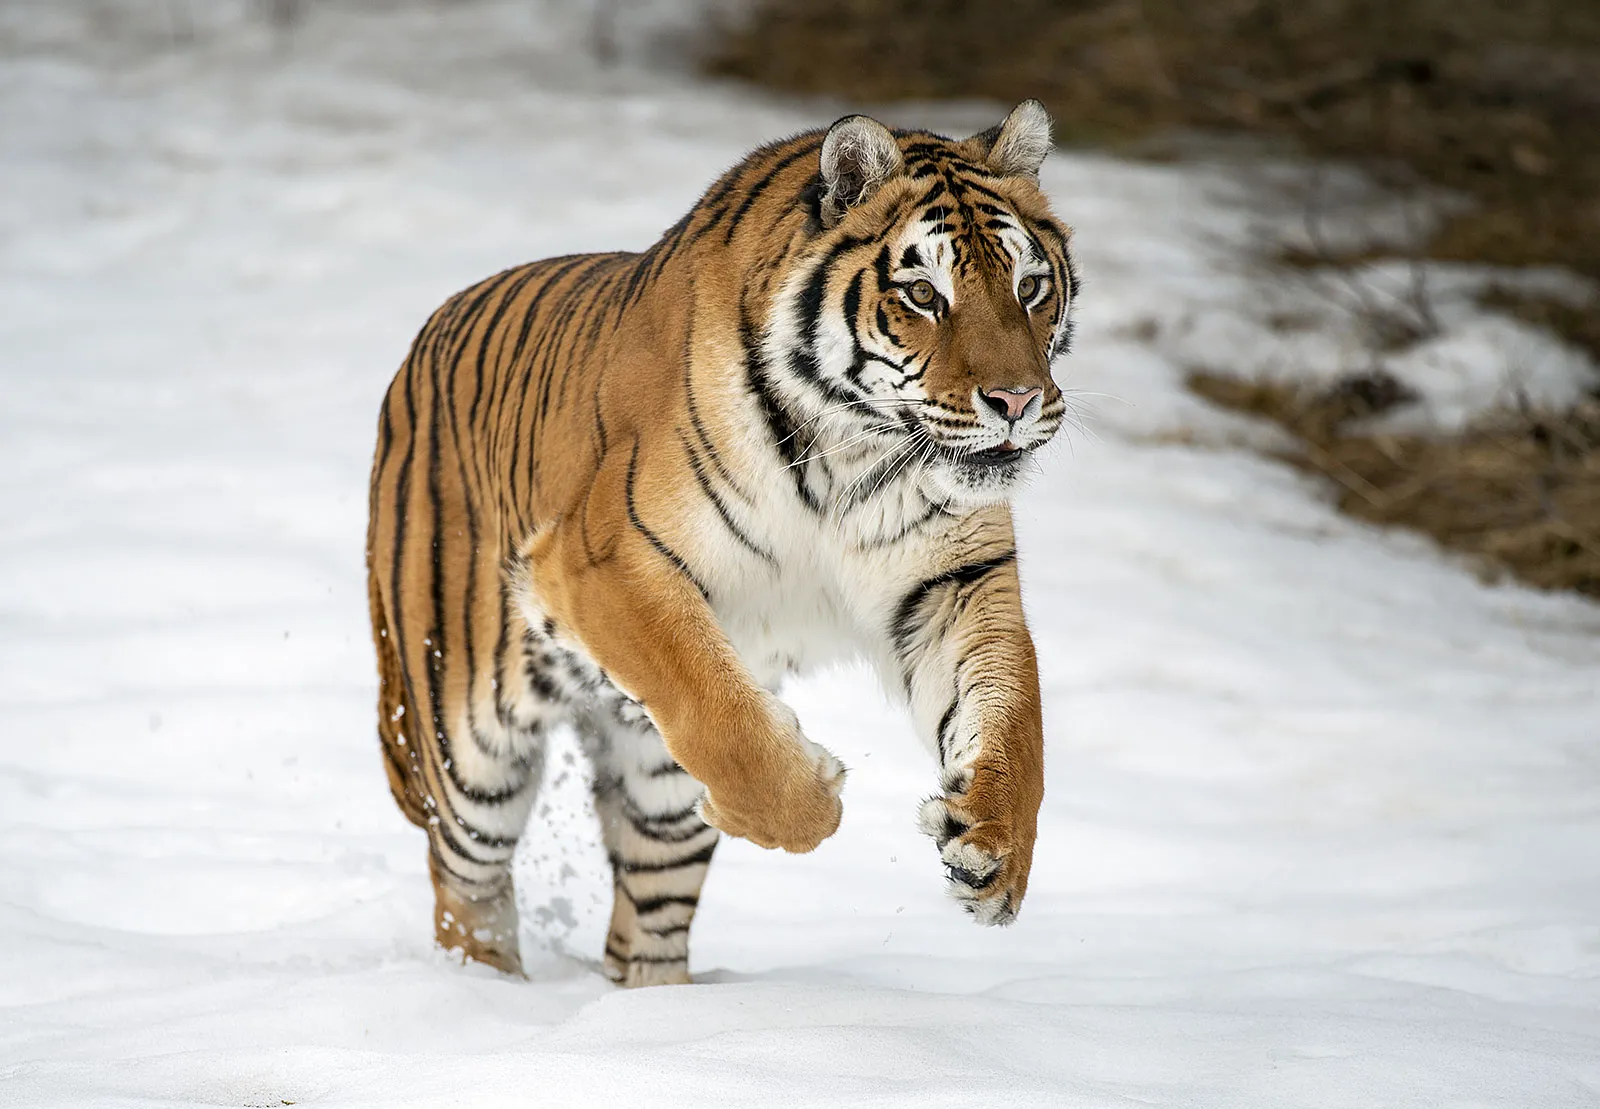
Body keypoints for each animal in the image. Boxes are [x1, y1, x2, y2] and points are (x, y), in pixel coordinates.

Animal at [366, 100, 1077, 988]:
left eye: (1030, 287)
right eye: (923, 293)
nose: (1017, 401)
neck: (853, 448)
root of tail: (420, 341)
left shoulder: (953, 582)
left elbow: (1014, 717)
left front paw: (993, 851)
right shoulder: (607, 558)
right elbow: (718, 710)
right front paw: (815, 798)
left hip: (654, 789)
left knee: (647, 918)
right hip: (465, 745)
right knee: (466, 884)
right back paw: (483, 992)